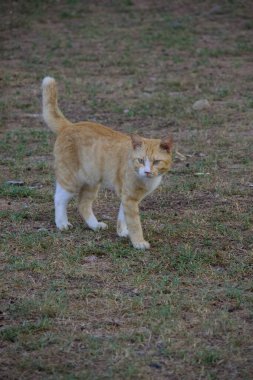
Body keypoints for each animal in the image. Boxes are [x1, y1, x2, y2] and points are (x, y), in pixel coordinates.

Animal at [41, 77, 173, 249]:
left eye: (156, 161)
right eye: (140, 160)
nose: (147, 171)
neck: (146, 180)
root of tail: (70, 126)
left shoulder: (126, 197)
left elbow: (122, 217)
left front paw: (122, 232)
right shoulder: (130, 198)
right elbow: (134, 223)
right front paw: (138, 242)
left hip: (91, 181)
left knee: (83, 204)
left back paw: (94, 225)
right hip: (70, 179)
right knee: (59, 198)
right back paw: (62, 223)